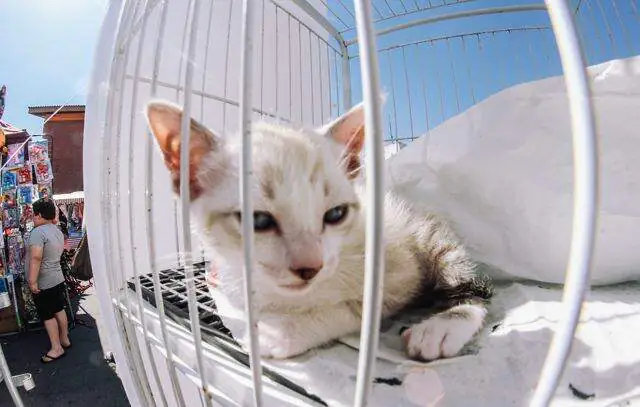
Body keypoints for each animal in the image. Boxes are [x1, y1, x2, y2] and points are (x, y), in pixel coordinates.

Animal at [146, 100, 496, 362]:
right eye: (258, 221)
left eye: (335, 214)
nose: (310, 266)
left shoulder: (398, 274)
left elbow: (352, 309)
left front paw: (275, 333)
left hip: (429, 236)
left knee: (473, 283)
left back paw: (443, 327)